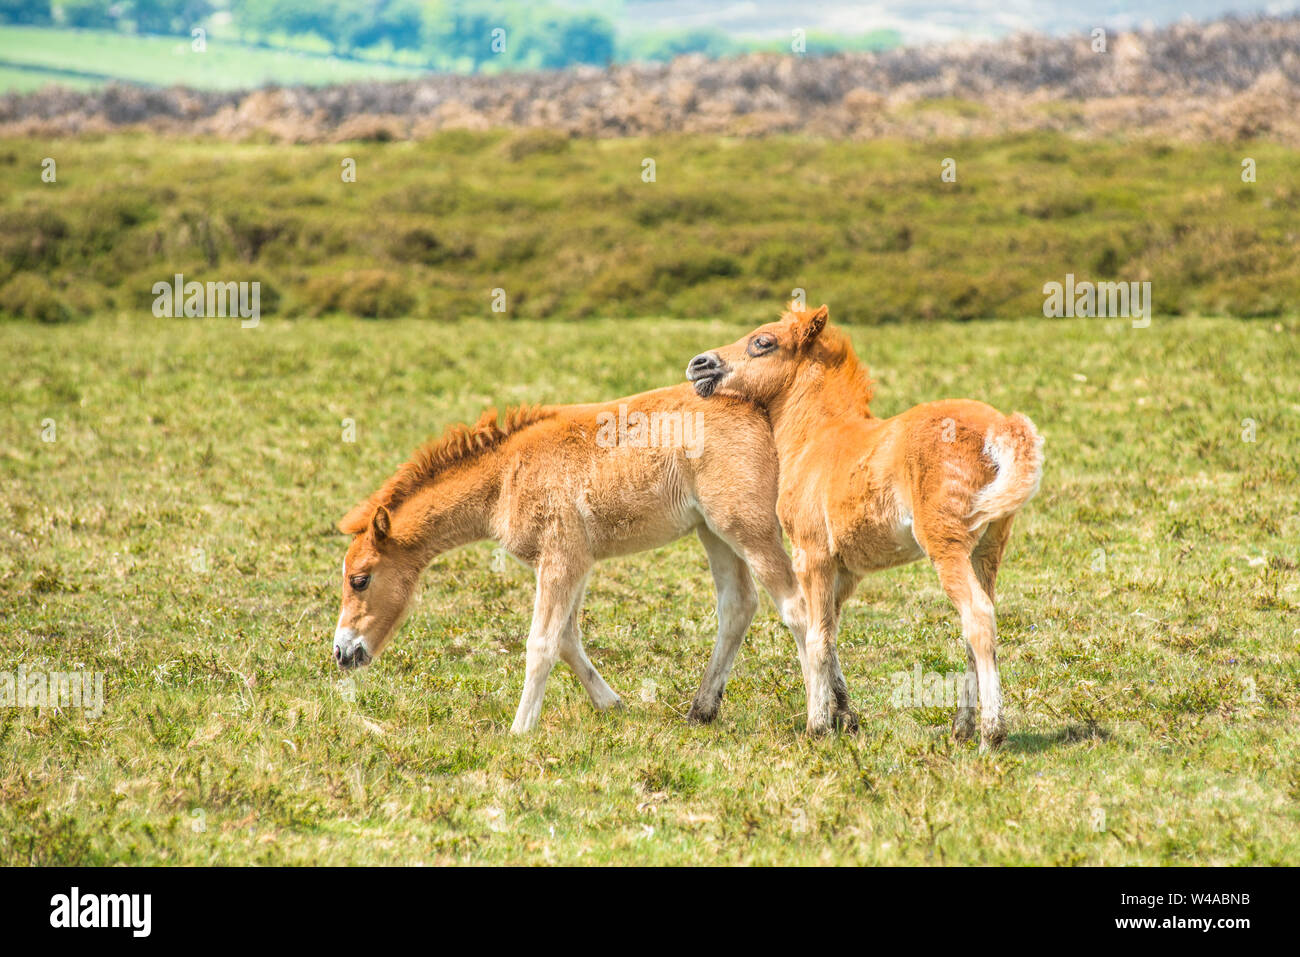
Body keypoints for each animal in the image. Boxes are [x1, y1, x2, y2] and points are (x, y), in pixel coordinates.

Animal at [332, 384, 827, 734]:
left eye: (360, 579)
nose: (342, 652)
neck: (506, 476)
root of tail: (762, 411)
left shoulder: (560, 558)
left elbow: (541, 643)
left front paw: (519, 731)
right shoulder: (577, 561)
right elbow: (568, 638)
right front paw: (612, 704)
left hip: (747, 527)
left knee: (800, 609)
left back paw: (824, 719)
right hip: (714, 531)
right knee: (738, 606)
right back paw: (702, 711)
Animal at [686, 303, 1043, 751]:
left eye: (762, 342)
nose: (698, 364)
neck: (816, 439)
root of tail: (1001, 428)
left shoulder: (812, 555)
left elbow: (816, 638)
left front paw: (817, 727)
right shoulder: (847, 570)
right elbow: (830, 632)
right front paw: (844, 716)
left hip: (947, 546)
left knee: (977, 618)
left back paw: (991, 734)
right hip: (987, 550)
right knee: (977, 625)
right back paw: (961, 729)